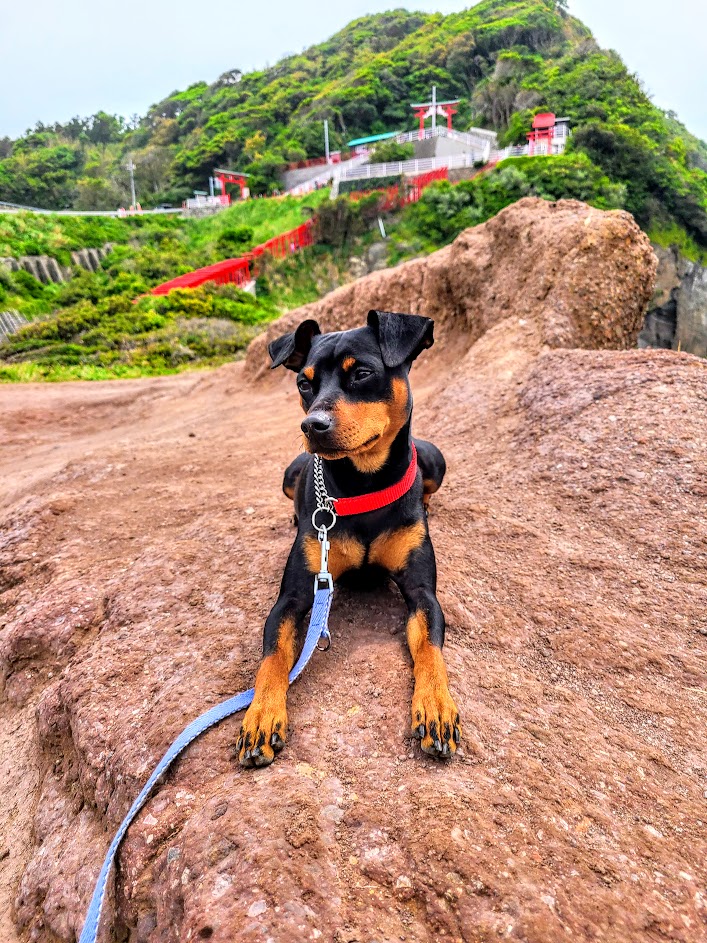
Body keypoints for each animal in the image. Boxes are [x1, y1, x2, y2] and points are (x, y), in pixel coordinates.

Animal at [235, 310, 462, 768]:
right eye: (303, 383)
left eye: (362, 373)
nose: (312, 425)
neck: (363, 485)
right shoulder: (294, 596)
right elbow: (272, 656)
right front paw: (262, 714)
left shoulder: (423, 594)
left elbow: (431, 649)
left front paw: (436, 705)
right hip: (290, 472)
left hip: (434, 458)